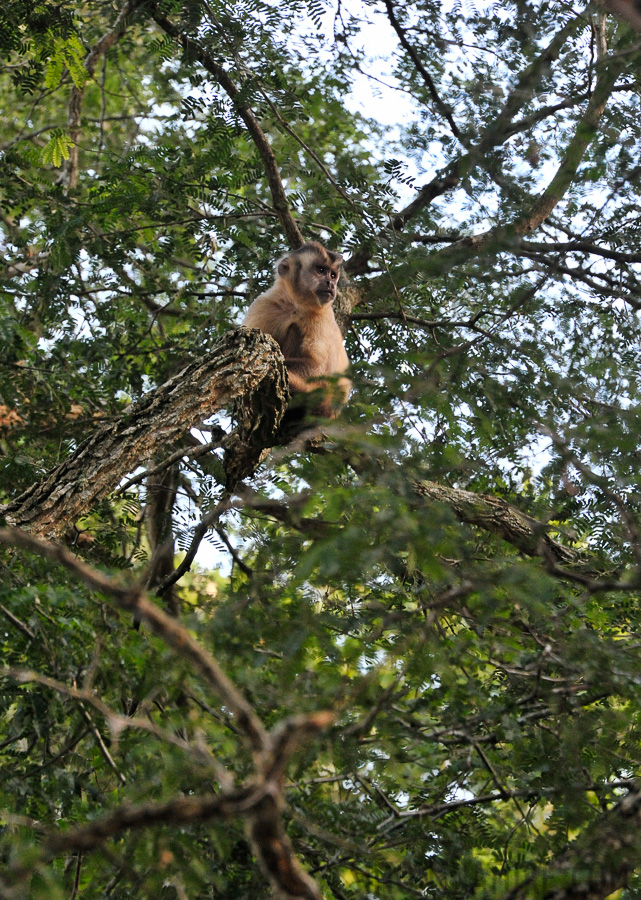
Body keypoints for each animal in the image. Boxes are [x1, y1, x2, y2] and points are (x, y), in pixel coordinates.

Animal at [241, 239, 350, 426]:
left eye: (332, 275)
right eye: (321, 271)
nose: (331, 283)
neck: (295, 305)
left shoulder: (321, 315)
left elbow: (316, 367)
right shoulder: (265, 304)